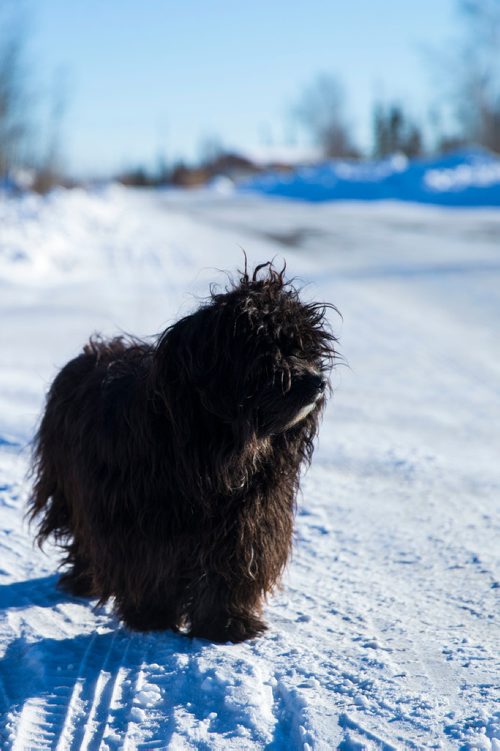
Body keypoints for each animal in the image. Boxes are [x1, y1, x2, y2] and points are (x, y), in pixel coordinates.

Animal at [29, 262, 338, 644]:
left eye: (307, 348)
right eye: (268, 347)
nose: (317, 381)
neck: (222, 447)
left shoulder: (247, 517)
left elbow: (232, 566)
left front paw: (226, 622)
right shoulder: (140, 518)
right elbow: (151, 566)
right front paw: (152, 615)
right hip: (70, 488)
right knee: (82, 534)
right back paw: (84, 579)